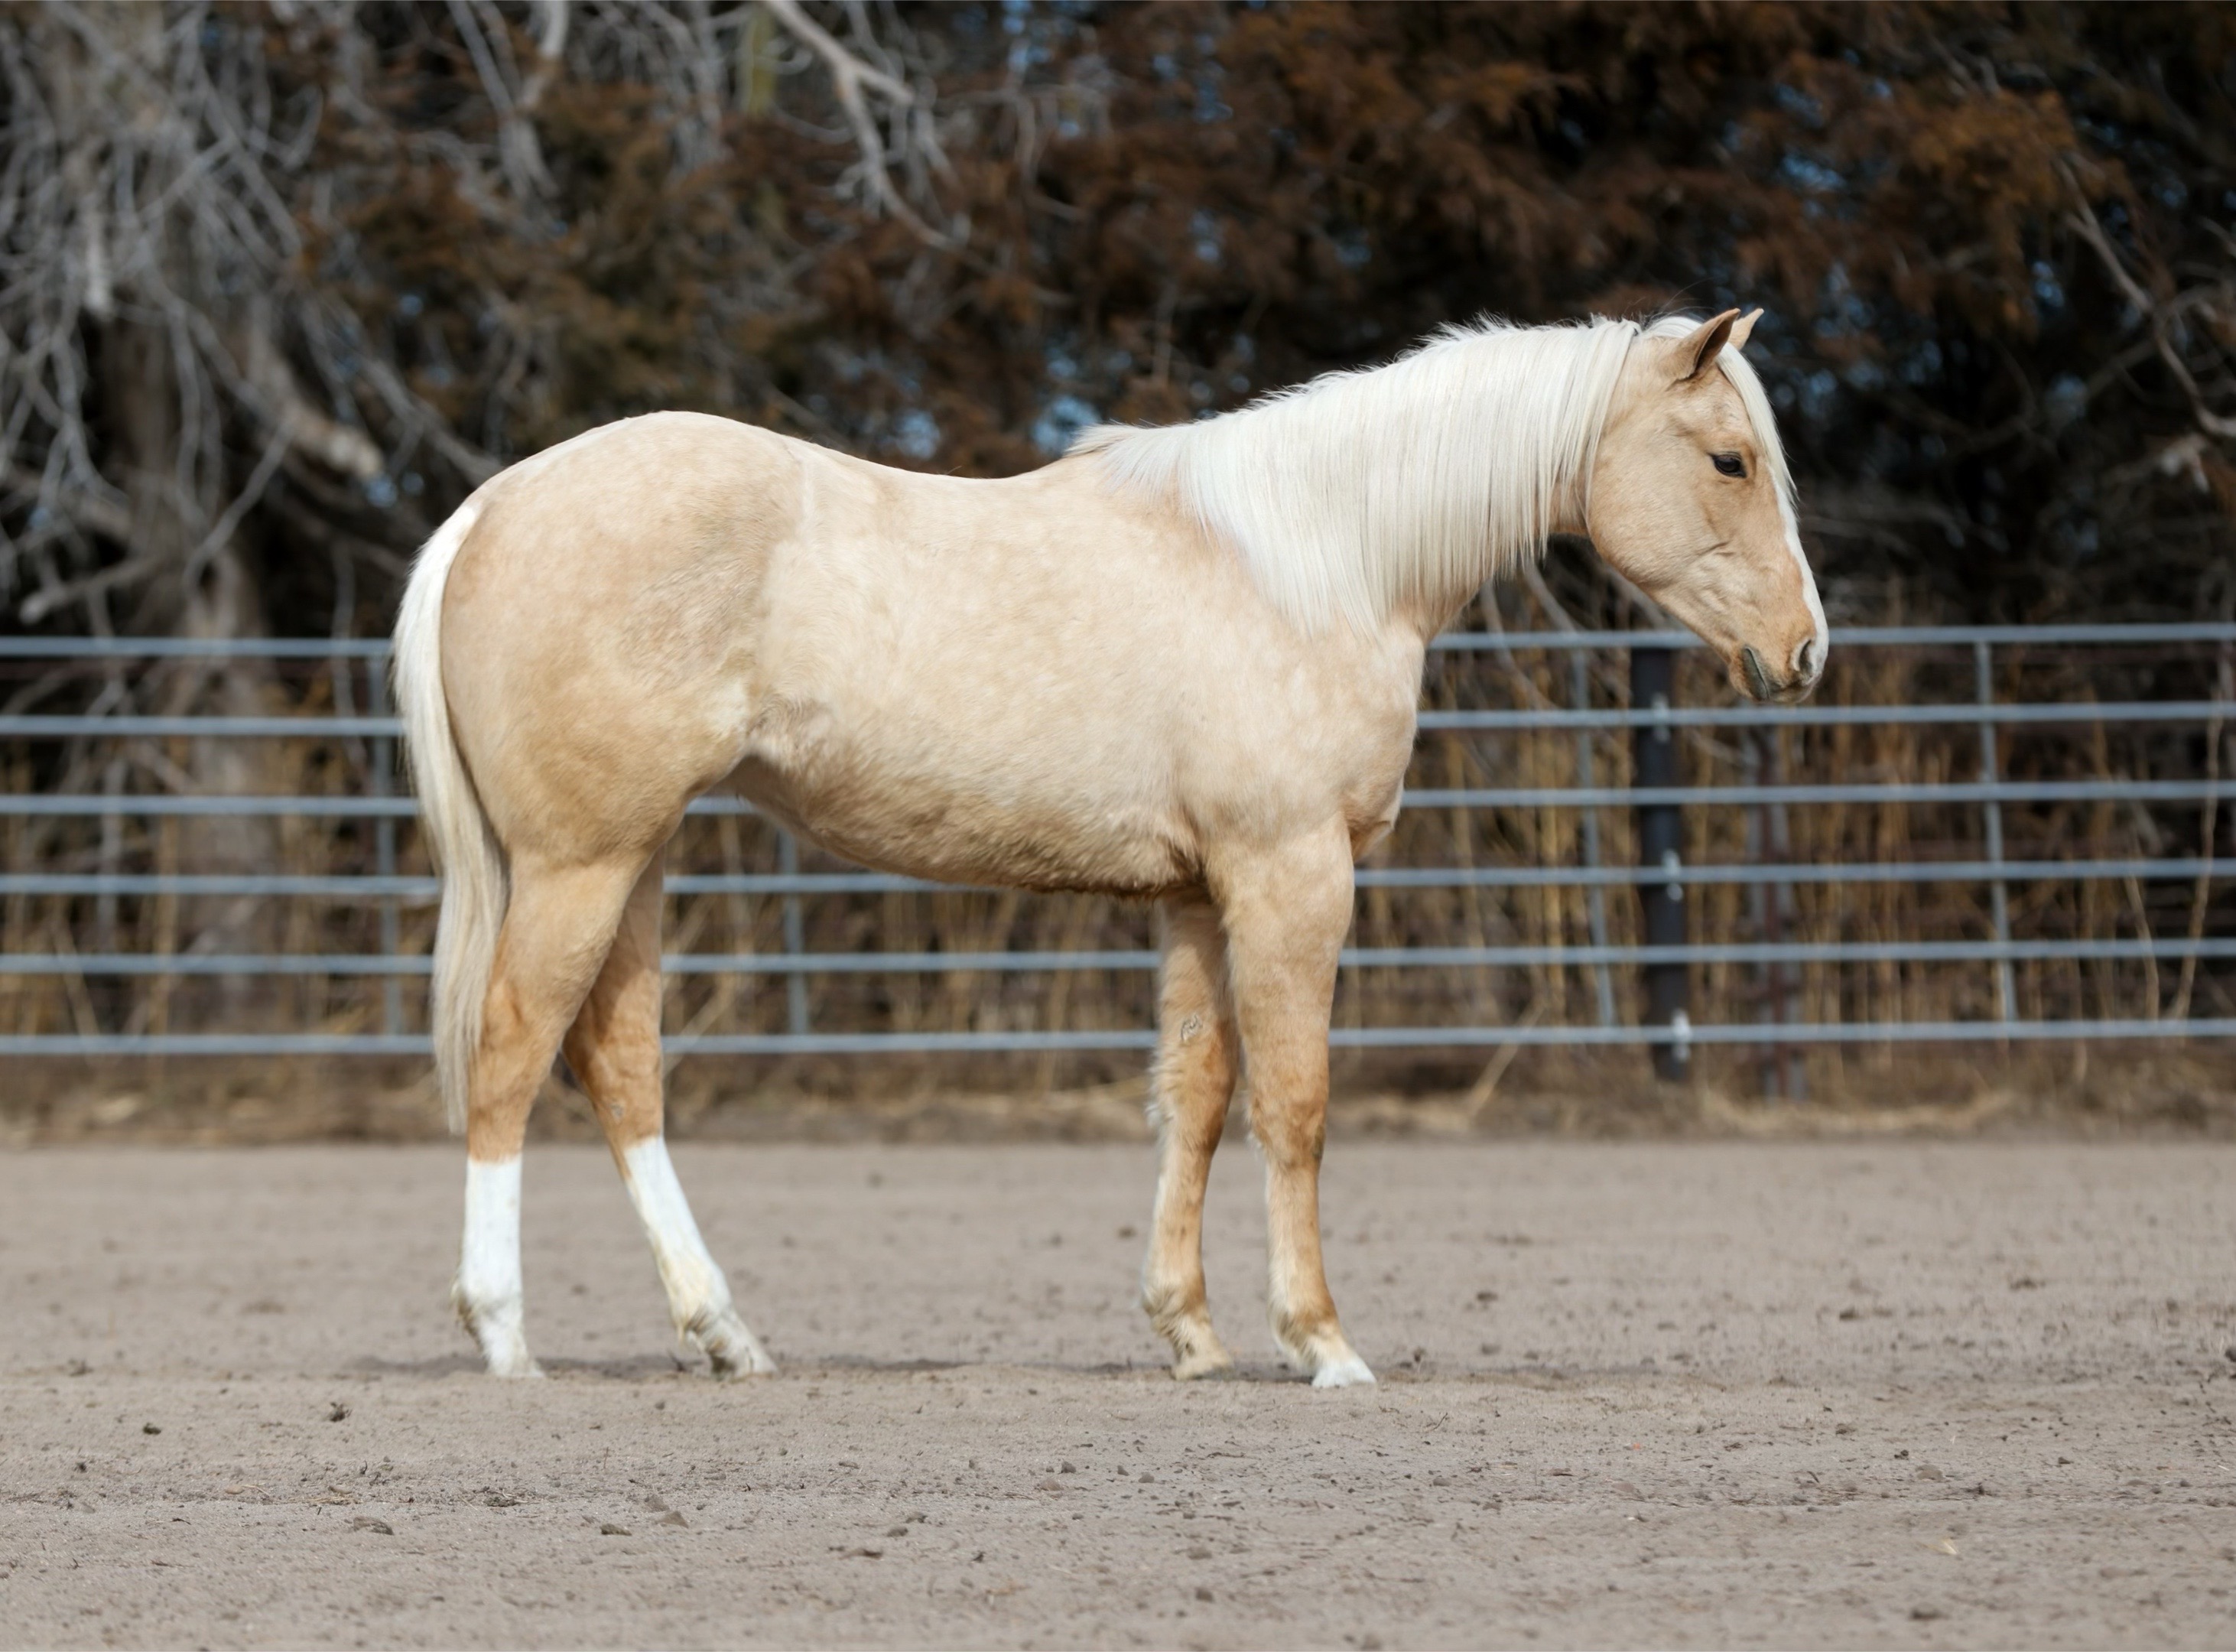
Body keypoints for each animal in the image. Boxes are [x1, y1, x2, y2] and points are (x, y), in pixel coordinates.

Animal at [393, 307, 1824, 1387]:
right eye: (1728, 461)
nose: (1803, 653)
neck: (1315, 562)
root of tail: (494, 505)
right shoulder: (1291, 878)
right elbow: (1294, 1106)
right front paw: (1321, 1343)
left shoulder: (1195, 896)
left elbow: (1193, 1099)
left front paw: (1189, 1334)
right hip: (582, 864)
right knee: (513, 1053)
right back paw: (505, 1335)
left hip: (632, 861)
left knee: (619, 1067)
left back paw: (723, 1333)